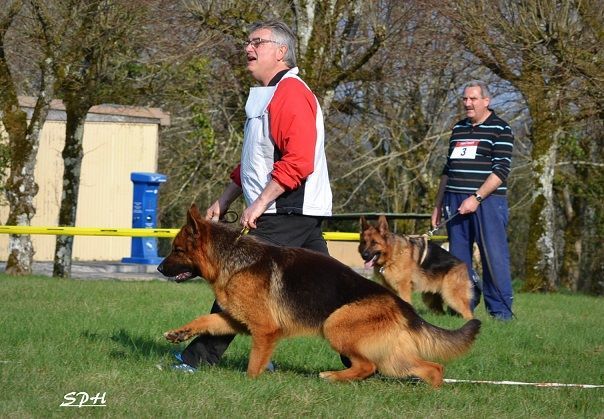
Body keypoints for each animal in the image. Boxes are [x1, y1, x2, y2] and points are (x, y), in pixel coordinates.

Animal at [158, 205, 478, 388]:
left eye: (177, 250)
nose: (159, 268)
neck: (232, 258)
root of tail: (400, 304)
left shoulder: (264, 330)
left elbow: (253, 364)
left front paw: (250, 385)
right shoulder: (235, 321)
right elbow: (206, 320)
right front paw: (180, 333)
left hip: (335, 325)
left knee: (367, 366)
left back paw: (332, 377)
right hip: (392, 357)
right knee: (432, 368)